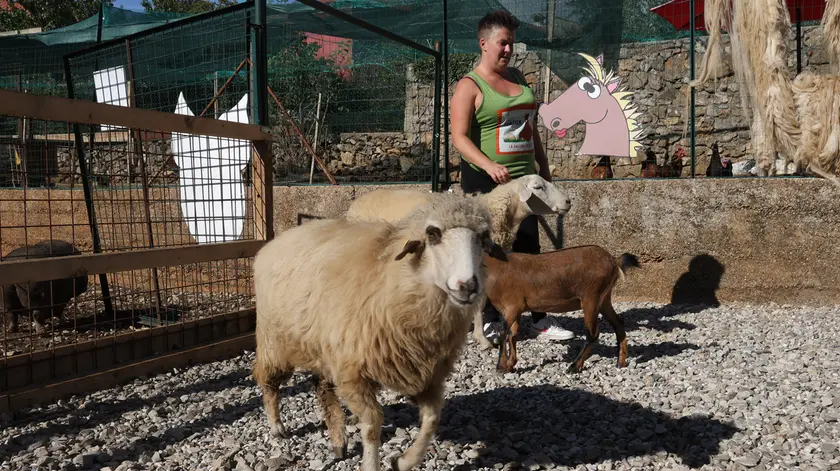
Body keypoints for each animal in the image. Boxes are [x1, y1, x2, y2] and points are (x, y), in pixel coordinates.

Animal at [252, 192, 502, 471]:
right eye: (433, 234)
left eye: (483, 238)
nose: (467, 286)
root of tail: (276, 241)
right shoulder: (353, 372)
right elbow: (372, 426)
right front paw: (372, 463)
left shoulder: (425, 374)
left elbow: (432, 418)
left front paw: (404, 461)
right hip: (276, 341)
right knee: (268, 380)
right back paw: (277, 426)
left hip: (322, 348)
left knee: (322, 387)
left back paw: (338, 439)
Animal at [484, 245, 640, 374]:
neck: (497, 267)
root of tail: (614, 260)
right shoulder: (514, 309)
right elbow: (512, 335)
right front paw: (510, 364)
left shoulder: (512, 307)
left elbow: (502, 333)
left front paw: (500, 366)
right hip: (604, 299)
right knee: (618, 323)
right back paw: (621, 362)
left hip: (592, 297)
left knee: (593, 334)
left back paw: (574, 366)